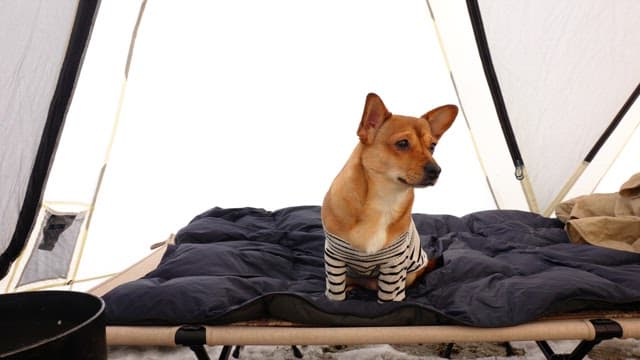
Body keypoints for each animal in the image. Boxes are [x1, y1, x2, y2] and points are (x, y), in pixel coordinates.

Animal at [322, 93, 458, 300]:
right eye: (402, 144)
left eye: (433, 147)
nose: (436, 170)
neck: (385, 199)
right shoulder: (335, 259)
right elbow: (335, 296)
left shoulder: (394, 264)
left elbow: (389, 298)